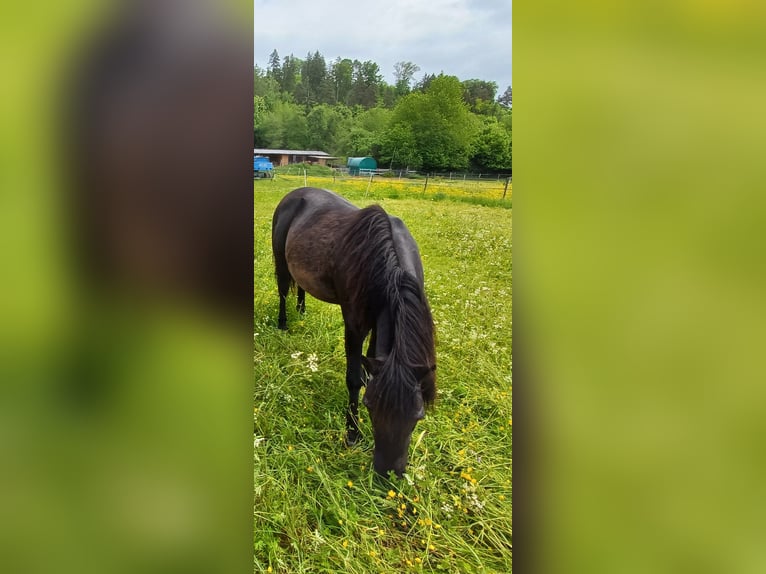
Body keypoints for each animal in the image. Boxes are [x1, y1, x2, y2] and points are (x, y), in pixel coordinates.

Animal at [272, 187, 436, 476]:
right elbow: (354, 378)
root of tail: (294, 194)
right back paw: (283, 323)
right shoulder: (355, 324)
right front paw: (352, 434)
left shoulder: (378, 324)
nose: (387, 473)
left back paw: (301, 311)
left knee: (300, 286)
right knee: (282, 291)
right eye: (370, 406)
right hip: (281, 262)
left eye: (419, 415)